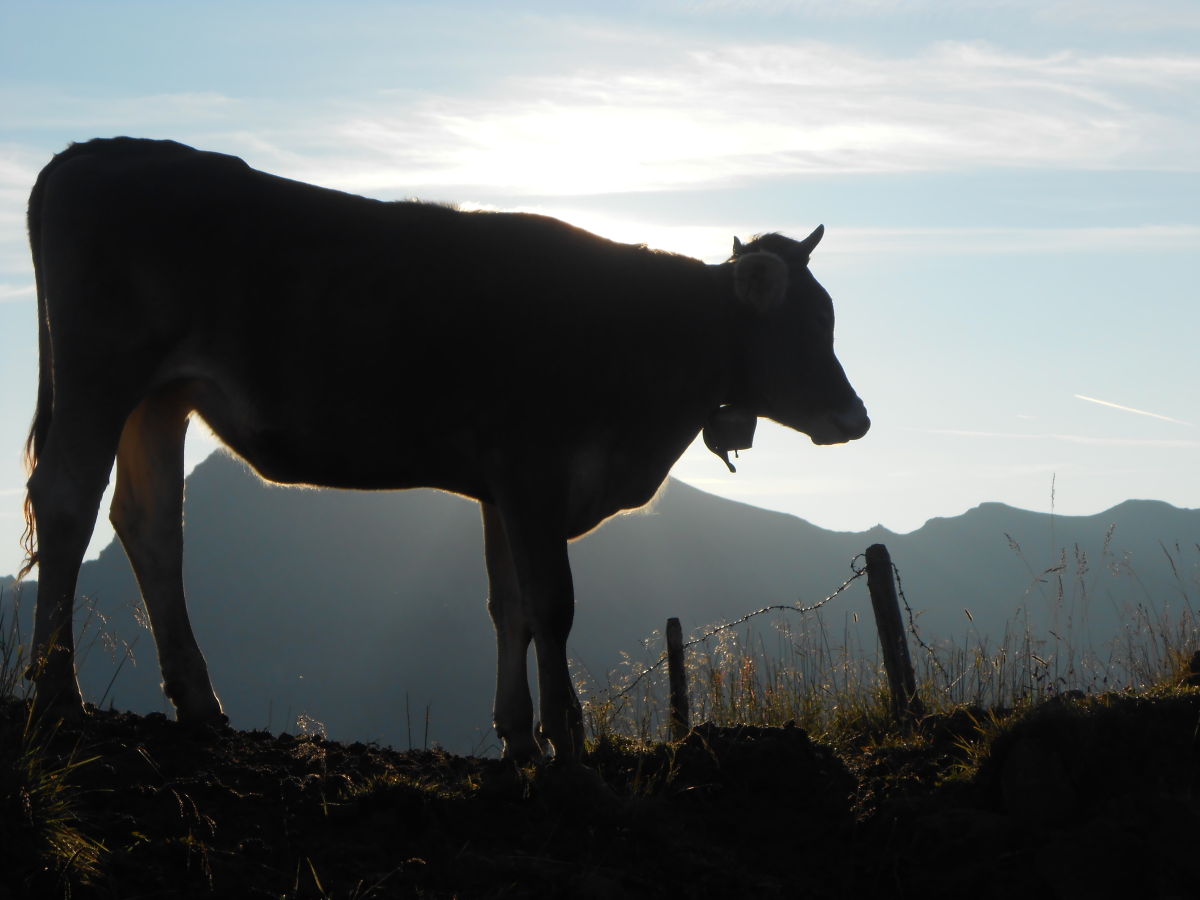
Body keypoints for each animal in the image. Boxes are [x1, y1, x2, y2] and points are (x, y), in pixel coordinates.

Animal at [23, 139, 868, 763]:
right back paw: (57, 693)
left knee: (151, 525)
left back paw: (199, 703)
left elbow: (511, 607)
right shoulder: (533, 471)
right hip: (103, 371)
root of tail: (95, 151)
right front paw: (569, 740)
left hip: (161, 397)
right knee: (66, 499)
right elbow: (553, 605)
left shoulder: (502, 487)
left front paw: (520, 736)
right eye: (808, 326)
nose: (856, 417)